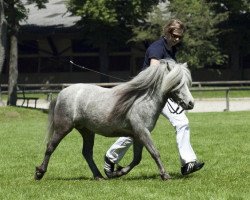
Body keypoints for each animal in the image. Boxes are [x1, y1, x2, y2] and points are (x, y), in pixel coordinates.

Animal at [35, 59, 194, 181]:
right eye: (177, 82)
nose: (190, 103)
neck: (142, 100)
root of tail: (62, 93)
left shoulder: (138, 135)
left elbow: (137, 159)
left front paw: (116, 172)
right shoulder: (142, 132)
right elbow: (154, 152)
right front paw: (165, 175)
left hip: (87, 131)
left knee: (87, 153)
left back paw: (99, 176)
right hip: (63, 128)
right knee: (50, 147)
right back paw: (39, 172)